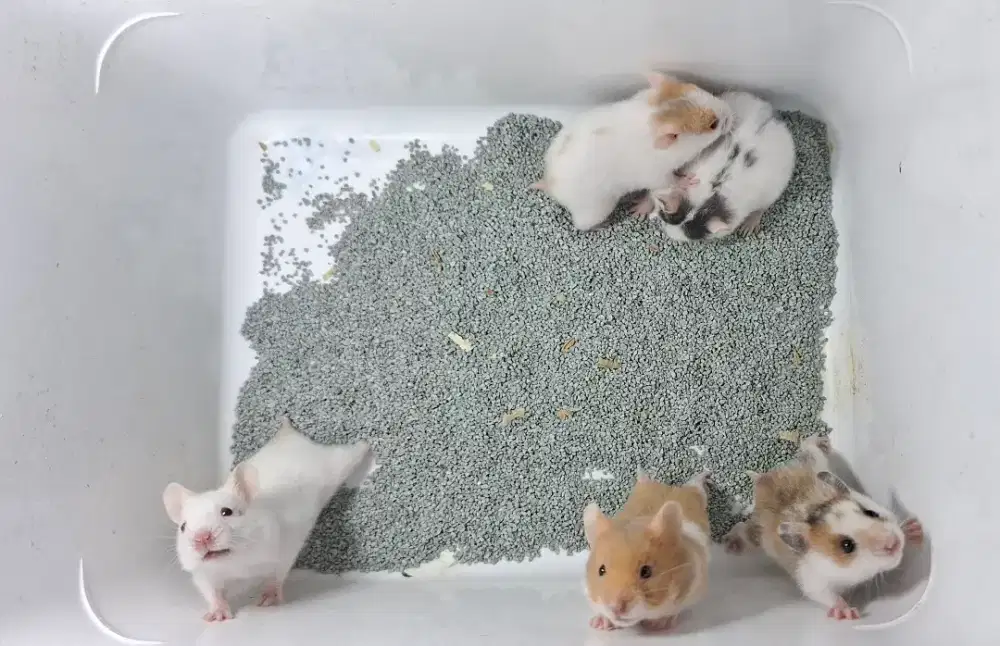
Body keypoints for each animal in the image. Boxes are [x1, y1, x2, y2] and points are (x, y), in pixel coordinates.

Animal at [162, 416, 371, 621]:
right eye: (183, 527)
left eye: (227, 512)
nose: (201, 538)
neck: (235, 562)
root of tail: (296, 439)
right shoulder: (202, 575)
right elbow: (213, 593)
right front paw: (216, 615)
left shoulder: (284, 552)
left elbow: (275, 577)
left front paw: (266, 601)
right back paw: (285, 419)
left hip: (337, 463)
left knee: (352, 452)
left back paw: (366, 443)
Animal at [531, 72, 734, 231]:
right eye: (713, 124)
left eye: (696, 87)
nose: (731, 113)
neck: (655, 116)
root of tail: (549, 184)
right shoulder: (658, 176)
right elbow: (672, 181)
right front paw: (689, 179)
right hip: (596, 210)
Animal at [583, 470, 712, 633]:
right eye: (601, 570)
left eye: (646, 571)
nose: (616, 609)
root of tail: (670, 486)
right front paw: (598, 623)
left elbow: (674, 610)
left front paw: (657, 625)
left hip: (696, 495)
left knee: (696, 485)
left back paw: (705, 474)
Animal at [632, 90, 795, 242]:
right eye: (666, 218)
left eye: (692, 235)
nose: (669, 234)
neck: (708, 193)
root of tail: (769, 111)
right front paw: (639, 212)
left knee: (760, 210)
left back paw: (748, 228)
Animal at [723, 435, 925, 620]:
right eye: (846, 546)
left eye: (871, 512)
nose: (894, 544)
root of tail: (762, 480)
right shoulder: (813, 582)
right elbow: (828, 596)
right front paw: (849, 614)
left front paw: (915, 530)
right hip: (756, 534)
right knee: (742, 529)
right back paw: (731, 545)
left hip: (816, 463)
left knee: (809, 449)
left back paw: (822, 441)